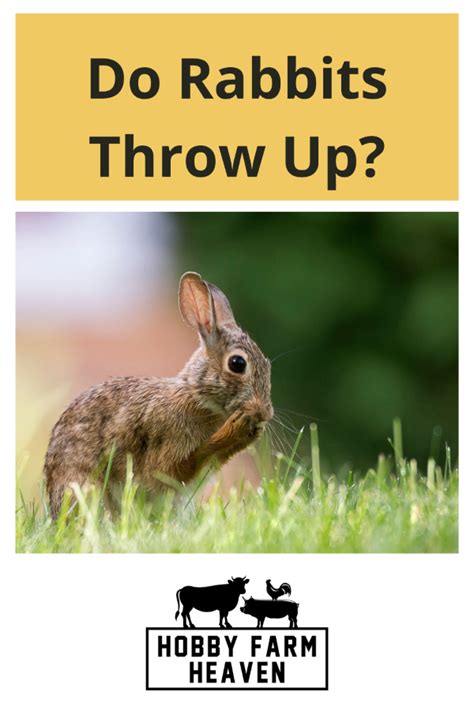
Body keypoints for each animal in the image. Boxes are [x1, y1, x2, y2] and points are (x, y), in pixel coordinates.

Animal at [44, 272, 273, 518]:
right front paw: (237, 428)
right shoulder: (166, 443)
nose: (265, 412)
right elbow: (182, 464)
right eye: (237, 363)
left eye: (268, 365)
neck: (197, 397)